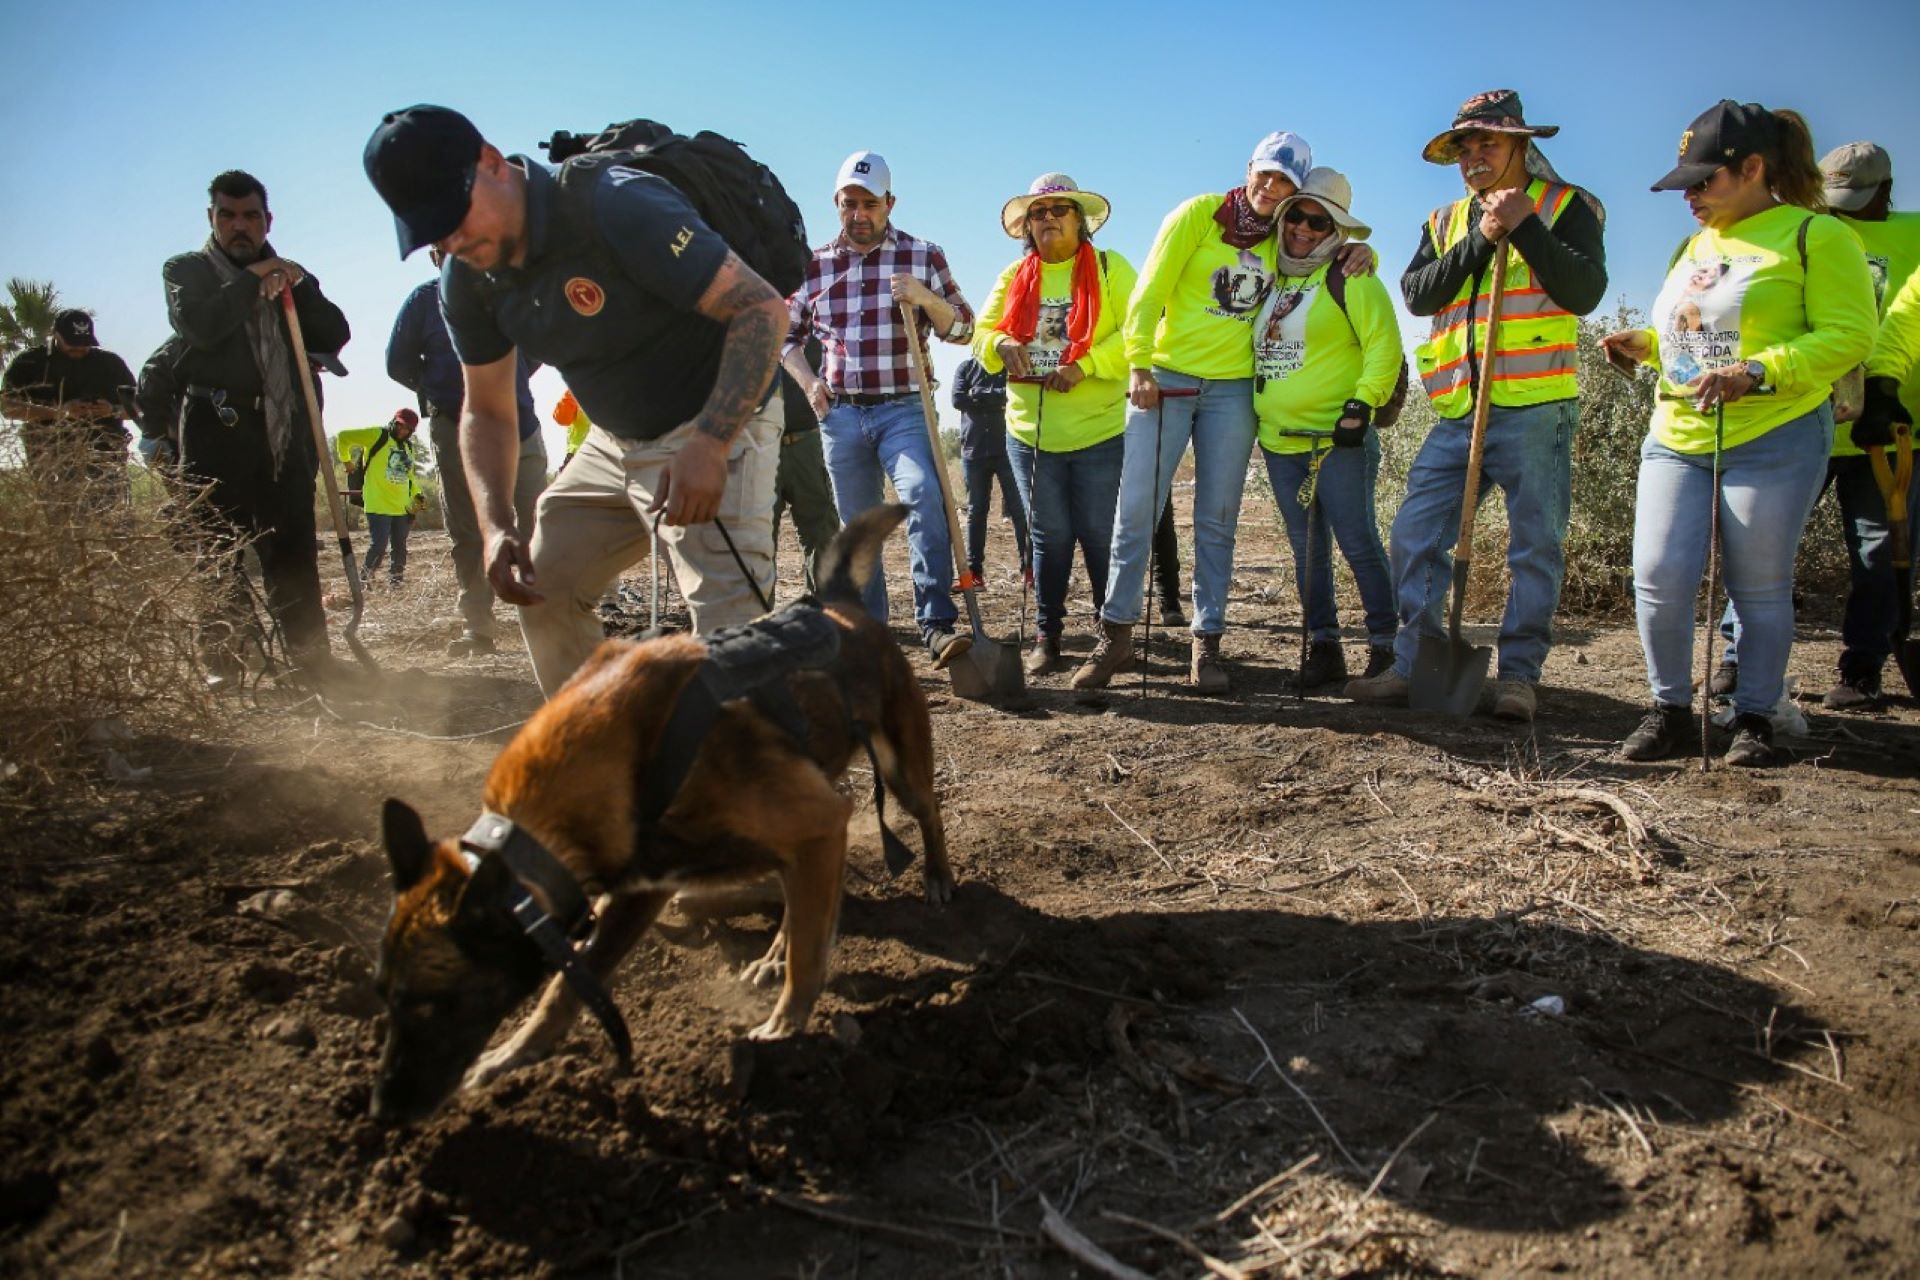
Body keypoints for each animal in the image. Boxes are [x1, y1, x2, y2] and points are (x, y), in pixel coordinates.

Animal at [368, 506, 952, 1128]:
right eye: (384, 996)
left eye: (431, 1005)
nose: (380, 1110)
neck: (623, 756)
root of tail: (839, 602)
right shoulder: (642, 889)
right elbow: (565, 989)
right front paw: (515, 1054)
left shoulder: (816, 824)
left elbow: (809, 960)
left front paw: (784, 1026)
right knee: (802, 900)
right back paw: (773, 952)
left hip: (899, 773)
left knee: (927, 816)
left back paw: (937, 877)